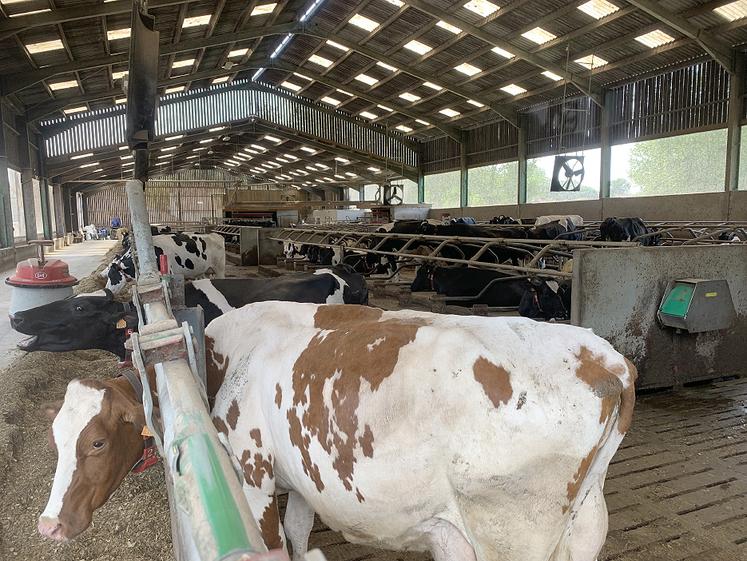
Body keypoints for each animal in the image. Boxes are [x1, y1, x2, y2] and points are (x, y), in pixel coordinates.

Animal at [39, 301, 636, 561]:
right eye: (56, 436)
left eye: (96, 441)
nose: (48, 525)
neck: (225, 358)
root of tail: (604, 361)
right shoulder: (306, 476)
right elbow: (300, 532)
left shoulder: (252, 473)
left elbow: (276, 542)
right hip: (586, 524)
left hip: (510, 537)